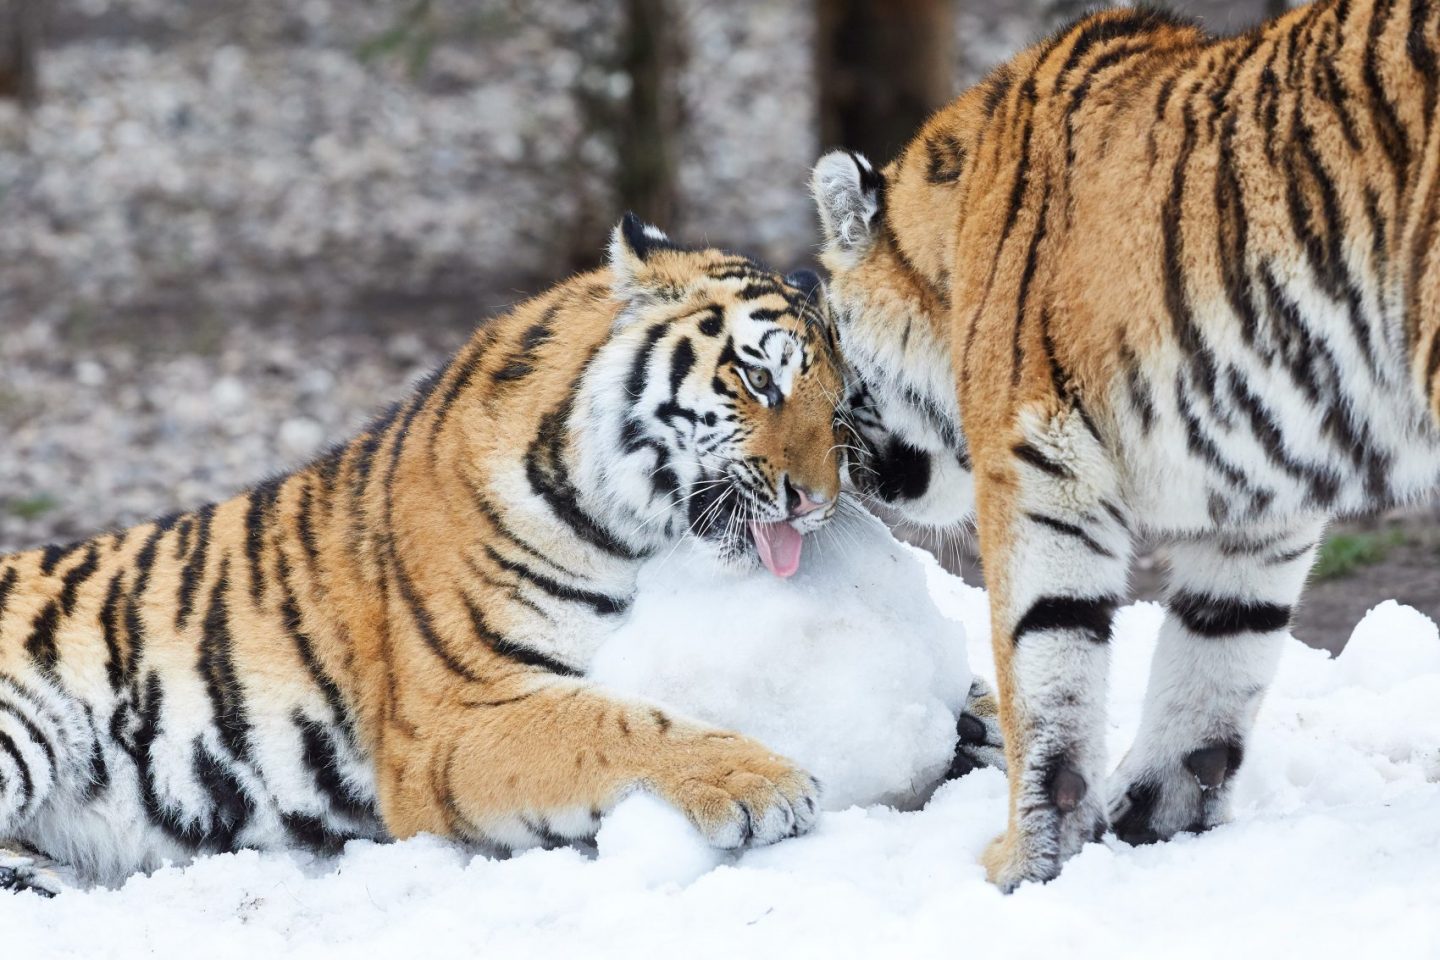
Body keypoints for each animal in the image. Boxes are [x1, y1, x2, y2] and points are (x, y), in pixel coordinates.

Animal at [0, 215, 861, 893]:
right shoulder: (452, 720)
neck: (621, 528)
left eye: (840, 405)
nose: (817, 499)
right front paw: (765, 783)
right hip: (25, 721)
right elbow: (612, 723)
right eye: (759, 378)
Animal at [810, 0, 1440, 890]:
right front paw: (1158, 817)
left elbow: (1042, 660)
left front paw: (1022, 862)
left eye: (829, 342)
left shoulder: (1038, 455)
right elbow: (1219, 651)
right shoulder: (1256, 500)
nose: (844, 467)